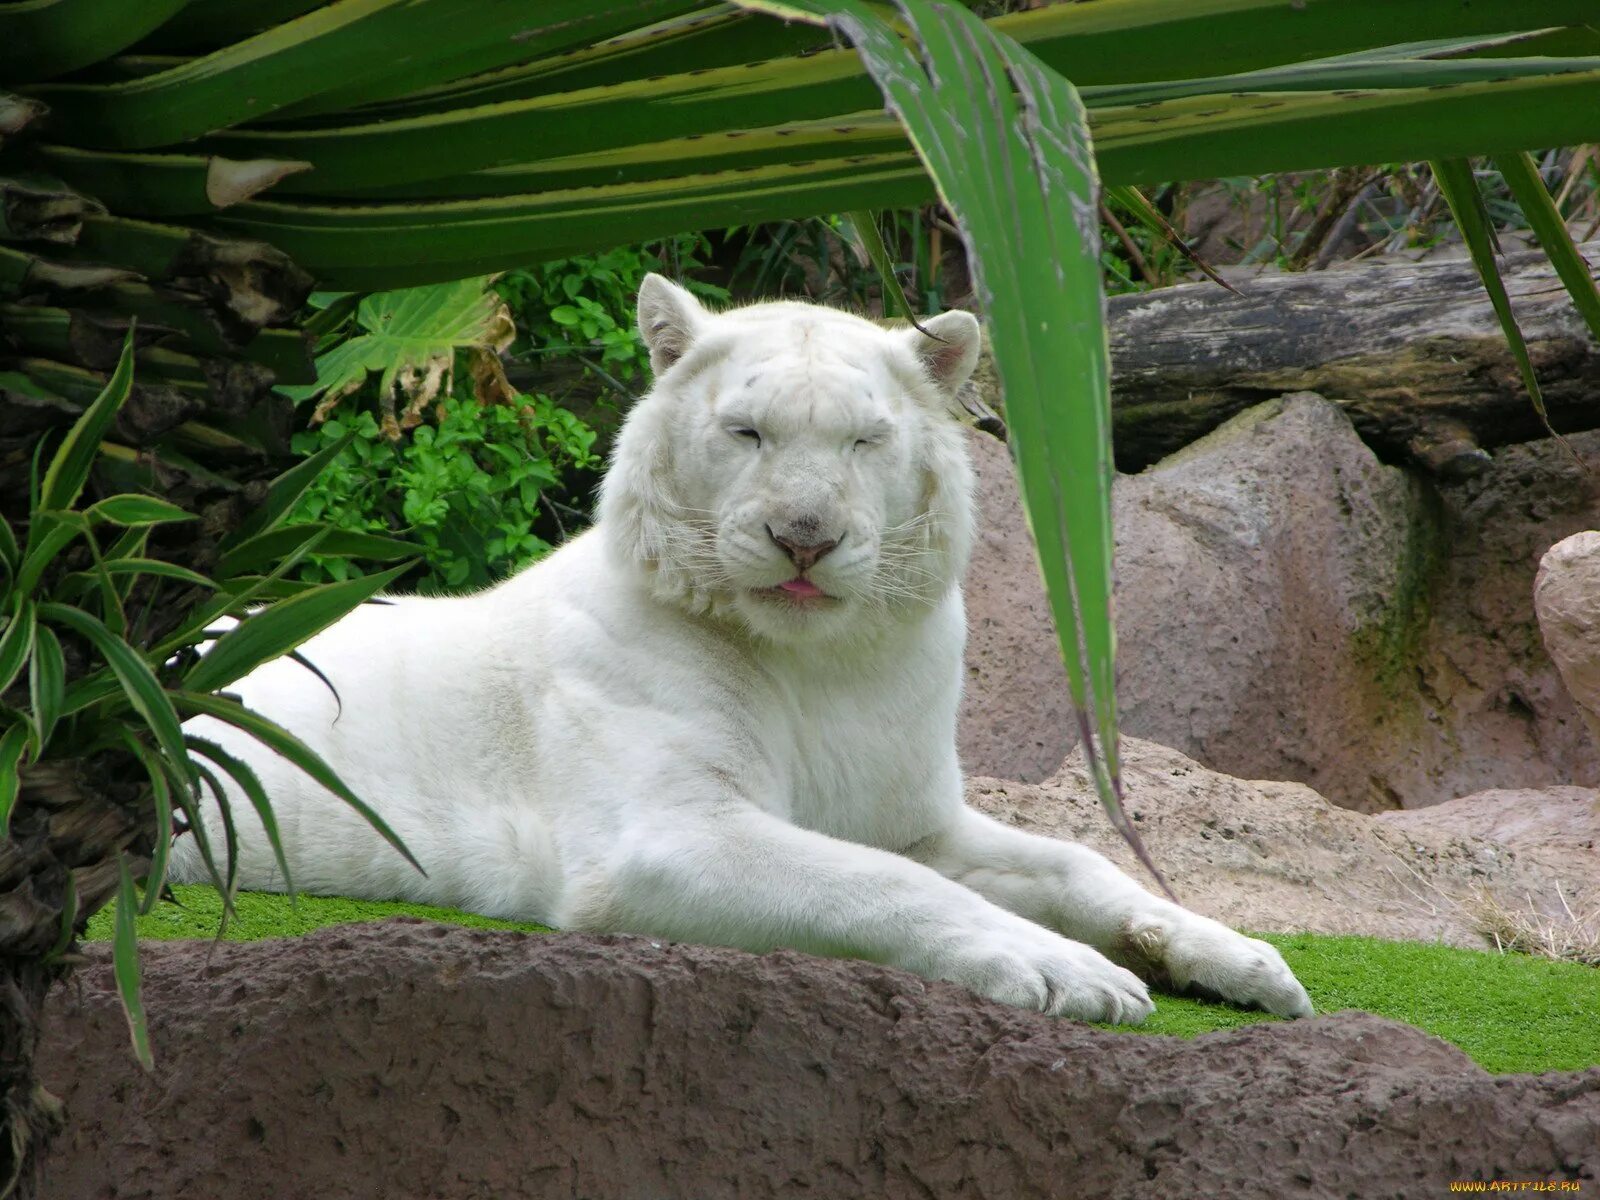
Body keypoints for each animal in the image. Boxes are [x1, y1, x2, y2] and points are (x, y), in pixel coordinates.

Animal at [178, 280, 1312, 1024]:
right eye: (748, 432)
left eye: (864, 439)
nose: (804, 534)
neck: (827, 663)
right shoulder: (668, 833)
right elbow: (878, 885)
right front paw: (1071, 976)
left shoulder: (912, 814)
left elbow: (1078, 861)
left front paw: (1242, 961)